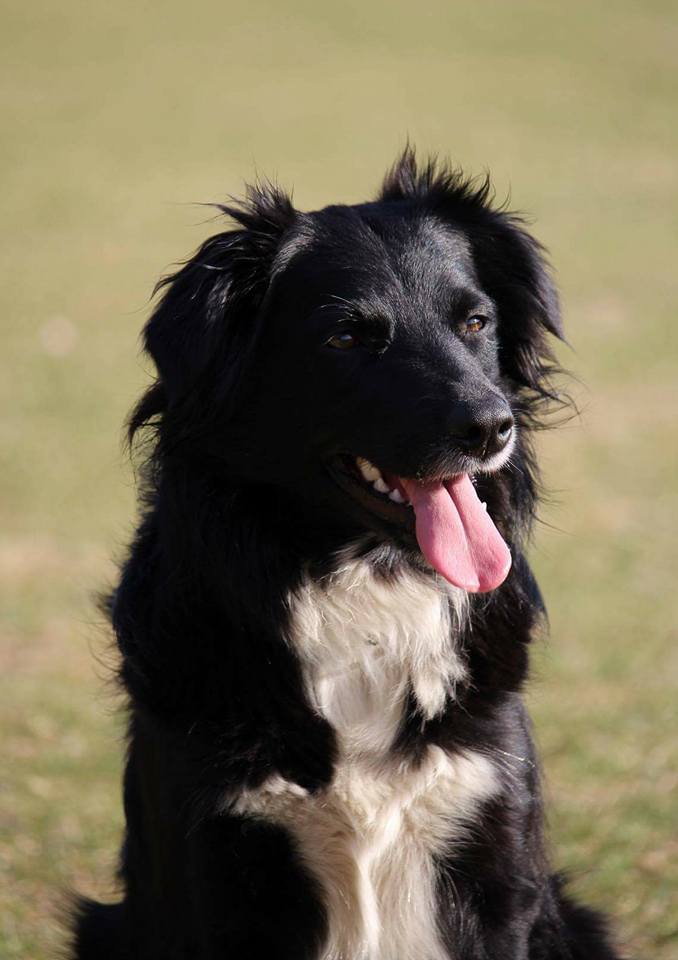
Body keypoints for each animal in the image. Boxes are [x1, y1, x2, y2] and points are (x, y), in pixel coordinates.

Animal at [72, 149, 621, 959]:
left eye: (475, 322)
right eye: (347, 339)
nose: (492, 427)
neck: (364, 582)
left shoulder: (493, 840)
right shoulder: (210, 863)